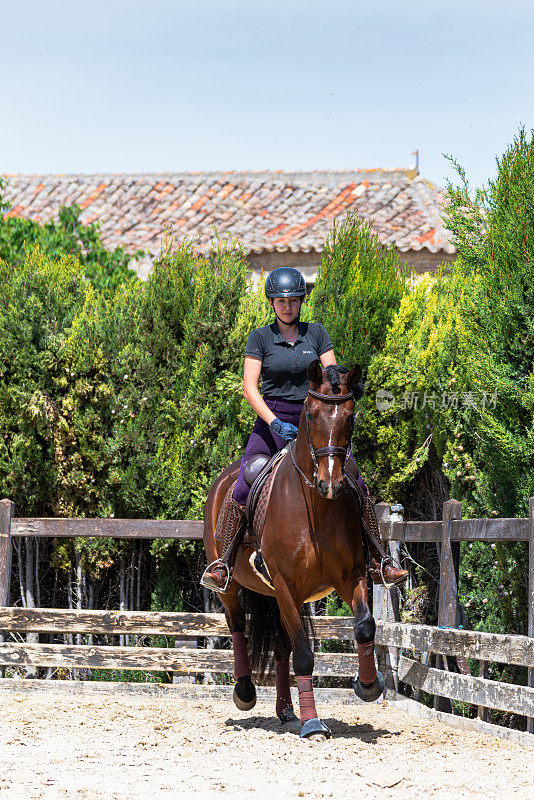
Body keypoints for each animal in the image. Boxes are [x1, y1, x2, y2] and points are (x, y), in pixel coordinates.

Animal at [202, 360, 386, 740]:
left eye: (350, 416)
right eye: (311, 415)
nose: (329, 483)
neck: (316, 508)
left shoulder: (350, 576)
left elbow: (364, 625)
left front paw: (368, 685)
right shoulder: (286, 584)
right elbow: (303, 653)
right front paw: (313, 723)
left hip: (280, 596)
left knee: (279, 644)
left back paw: (287, 710)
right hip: (234, 587)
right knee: (237, 626)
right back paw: (245, 693)